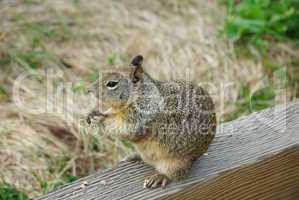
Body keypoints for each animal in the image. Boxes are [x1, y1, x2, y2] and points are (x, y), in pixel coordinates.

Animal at [88, 55, 217, 189]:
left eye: (112, 83)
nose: (89, 90)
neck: (140, 94)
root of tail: (198, 154)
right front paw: (94, 114)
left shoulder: (141, 115)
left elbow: (126, 130)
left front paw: (101, 120)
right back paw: (135, 157)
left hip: (176, 162)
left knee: (176, 174)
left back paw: (159, 177)